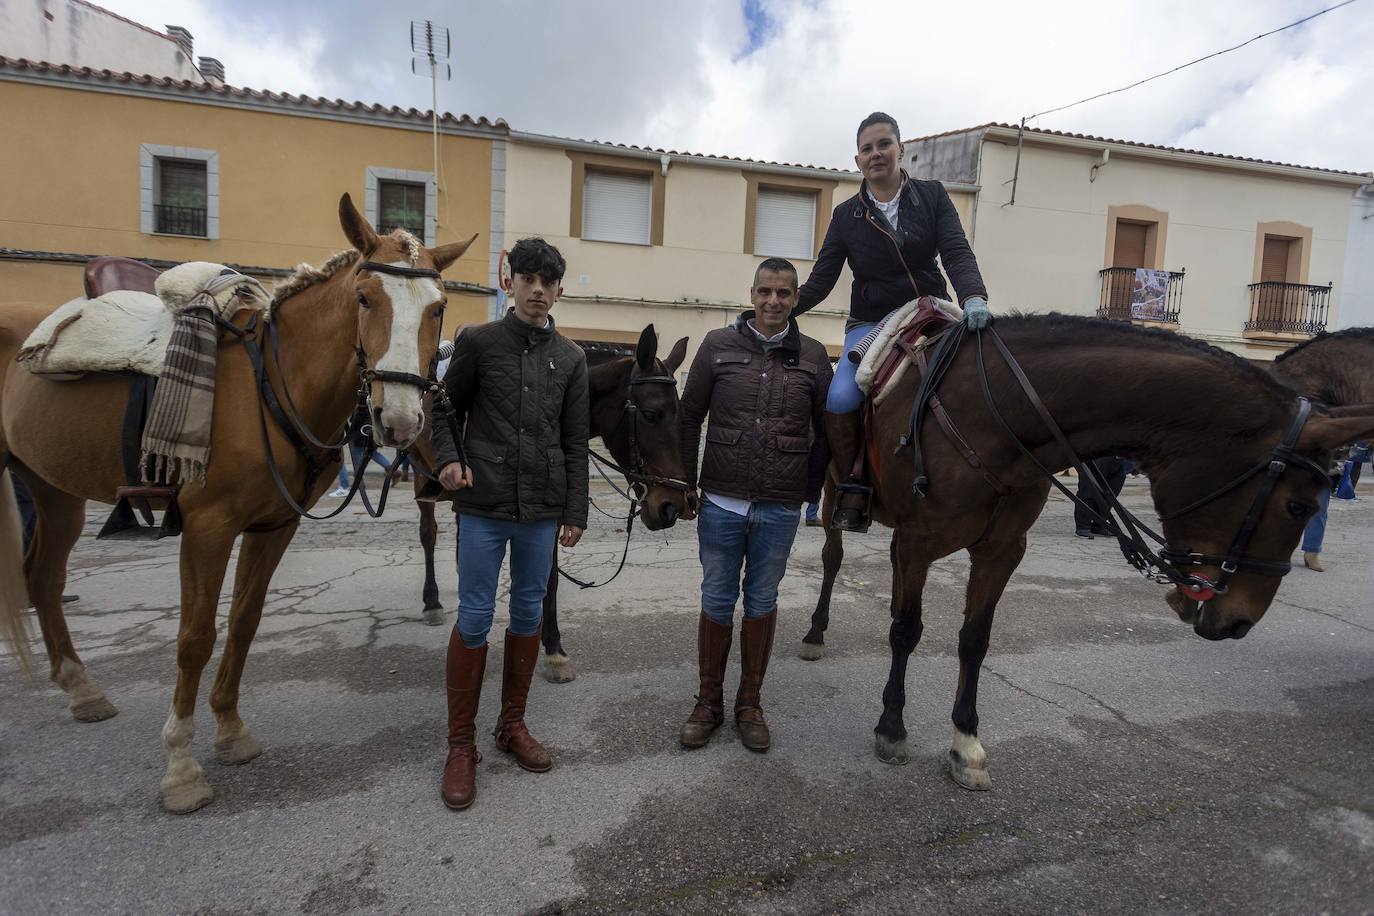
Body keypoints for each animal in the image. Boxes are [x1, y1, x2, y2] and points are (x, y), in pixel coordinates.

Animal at [0, 192, 475, 807]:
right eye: (364, 297)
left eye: (438, 308)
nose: (396, 419)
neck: (271, 381)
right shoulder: (208, 525)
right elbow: (195, 638)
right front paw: (181, 764)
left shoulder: (273, 526)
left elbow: (245, 620)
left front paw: (229, 729)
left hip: (52, 488)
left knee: (43, 580)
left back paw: (82, 689)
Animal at [403, 325, 692, 683]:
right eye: (652, 415)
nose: (672, 506)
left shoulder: (550, 517)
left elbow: (548, 580)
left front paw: (553, 648)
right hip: (422, 473)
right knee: (428, 533)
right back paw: (432, 602)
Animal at [802, 315, 1374, 791]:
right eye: (1299, 506)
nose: (1239, 623)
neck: (996, 413)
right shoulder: (916, 542)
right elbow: (906, 630)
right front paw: (892, 726)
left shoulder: (1001, 551)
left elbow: (974, 640)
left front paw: (965, 744)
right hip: (832, 497)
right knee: (832, 560)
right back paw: (814, 633)